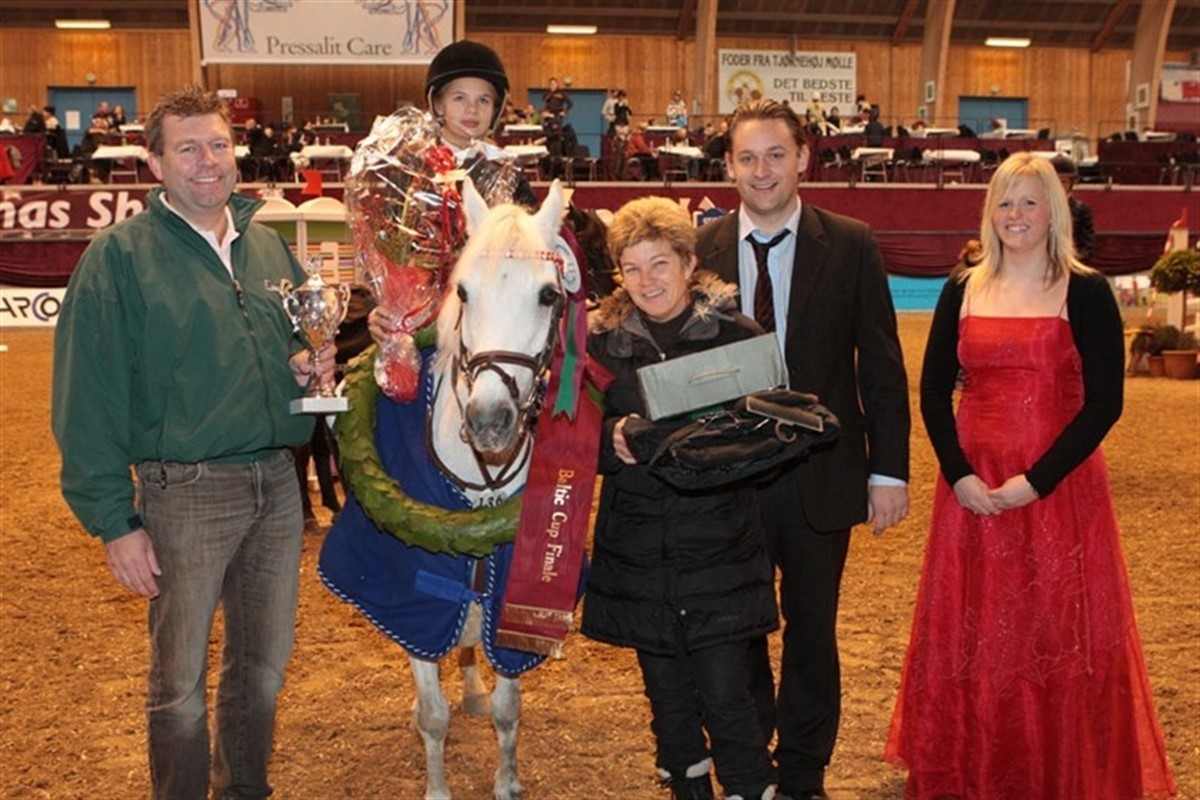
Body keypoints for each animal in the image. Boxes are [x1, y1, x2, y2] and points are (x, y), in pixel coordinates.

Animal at [319, 178, 575, 800]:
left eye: (548, 295)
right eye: (462, 290)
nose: (489, 421)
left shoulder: (511, 598)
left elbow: (509, 707)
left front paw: (506, 781)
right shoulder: (414, 601)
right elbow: (434, 711)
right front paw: (437, 782)